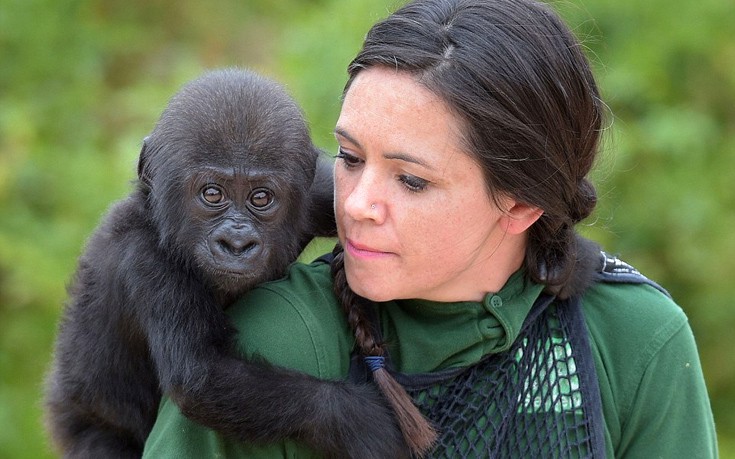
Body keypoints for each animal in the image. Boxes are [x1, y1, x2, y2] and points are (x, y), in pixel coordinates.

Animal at [44, 68, 408, 459]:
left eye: (261, 198)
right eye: (212, 194)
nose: (236, 243)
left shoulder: (323, 194)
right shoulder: (146, 261)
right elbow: (202, 374)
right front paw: (359, 421)